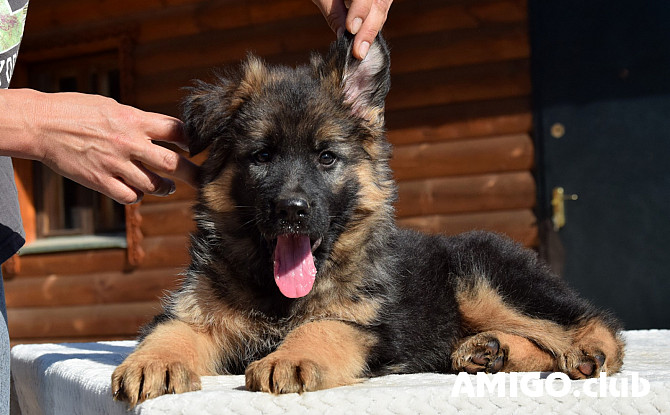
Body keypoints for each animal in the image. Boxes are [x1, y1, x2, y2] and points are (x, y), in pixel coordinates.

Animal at [111, 34, 624, 408]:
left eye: (326, 157)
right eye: (261, 156)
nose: (292, 210)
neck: (278, 294)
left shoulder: (367, 324)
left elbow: (322, 326)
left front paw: (290, 357)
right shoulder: (197, 313)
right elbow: (170, 329)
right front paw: (151, 362)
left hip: (484, 280)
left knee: (592, 323)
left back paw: (586, 353)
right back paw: (489, 350)